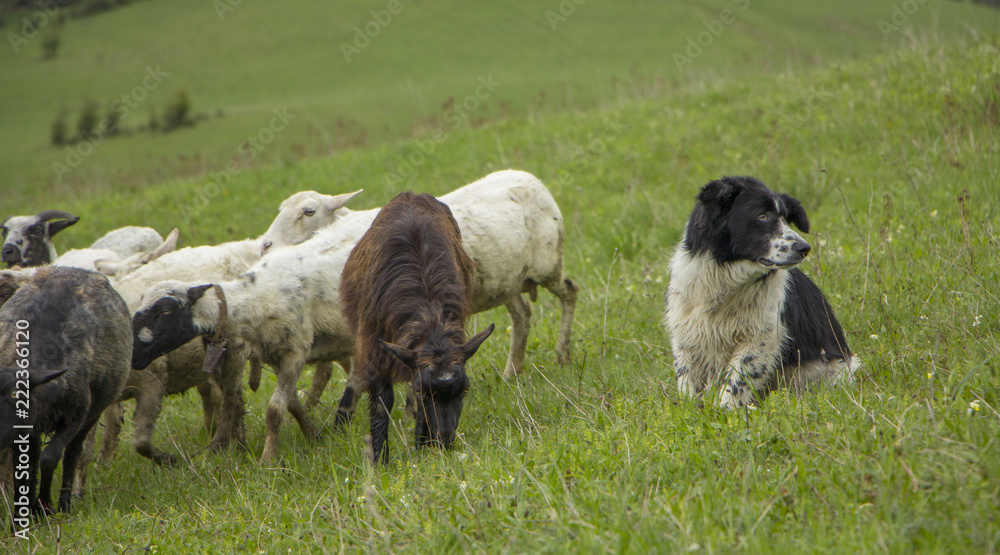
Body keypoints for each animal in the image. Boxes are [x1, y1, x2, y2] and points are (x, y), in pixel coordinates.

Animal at [0, 268, 131, 516]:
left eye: (16, 396)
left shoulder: (76, 417)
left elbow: (50, 458)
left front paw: (45, 505)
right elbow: (25, 466)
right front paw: (25, 513)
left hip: (93, 411)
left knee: (73, 452)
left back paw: (64, 503)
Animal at [342, 191, 494, 464]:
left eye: (465, 390)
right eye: (424, 393)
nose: (445, 441)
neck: (427, 312)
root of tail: (411, 194)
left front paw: (423, 445)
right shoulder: (375, 350)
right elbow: (382, 403)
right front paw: (379, 459)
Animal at [664, 178, 860, 408]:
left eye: (785, 217)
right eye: (762, 216)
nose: (804, 248)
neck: (726, 282)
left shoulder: (761, 337)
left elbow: (738, 377)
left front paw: (725, 409)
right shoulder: (686, 332)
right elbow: (688, 379)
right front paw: (690, 408)